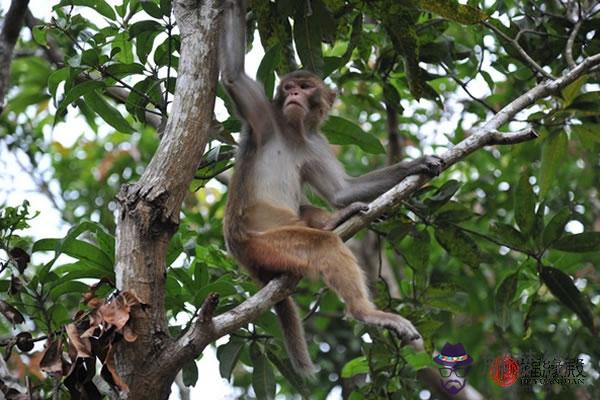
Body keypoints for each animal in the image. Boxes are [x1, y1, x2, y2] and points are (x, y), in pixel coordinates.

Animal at [218, 0, 442, 376]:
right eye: (289, 87)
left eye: (305, 86)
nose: (294, 93)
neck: (293, 131)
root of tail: (240, 252)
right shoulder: (264, 116)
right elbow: (233, 75)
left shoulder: (315, 142)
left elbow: (340, 191)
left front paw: (415, 166)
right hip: (265, 244)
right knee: (319, 245)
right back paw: (365, 310)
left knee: (310, 211)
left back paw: (337, 220)